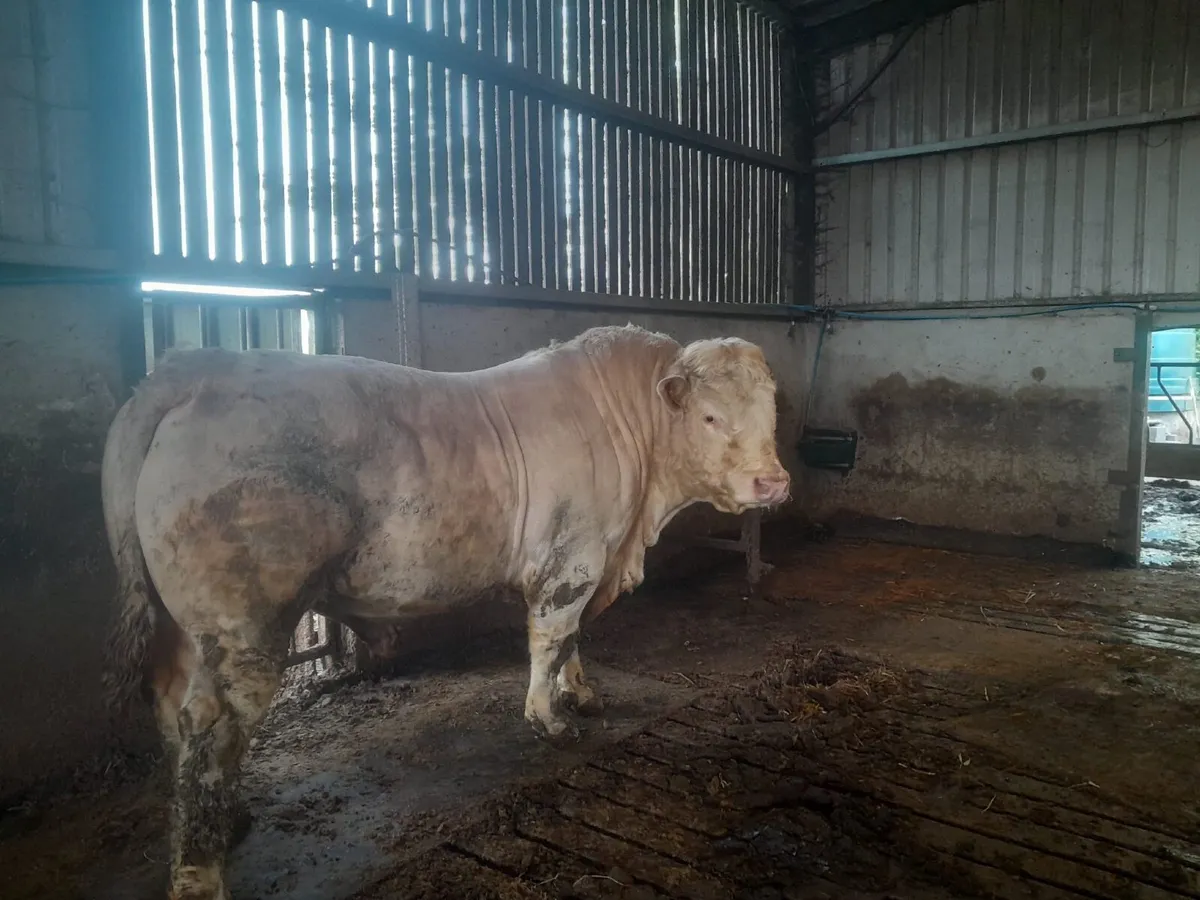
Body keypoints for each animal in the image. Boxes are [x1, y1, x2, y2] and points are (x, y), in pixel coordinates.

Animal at [100, 324, 790, 899]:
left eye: (772, 414)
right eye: (710, 415)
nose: (774, 483)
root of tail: (194, 368)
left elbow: (574, 642)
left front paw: (581, 694)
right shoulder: (572, 559)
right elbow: (552, 637)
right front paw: (550, 720)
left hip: (183, 626)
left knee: (173, 706)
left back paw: (228, 818)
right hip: (246, 621)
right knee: (210, 726)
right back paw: (200, 874)